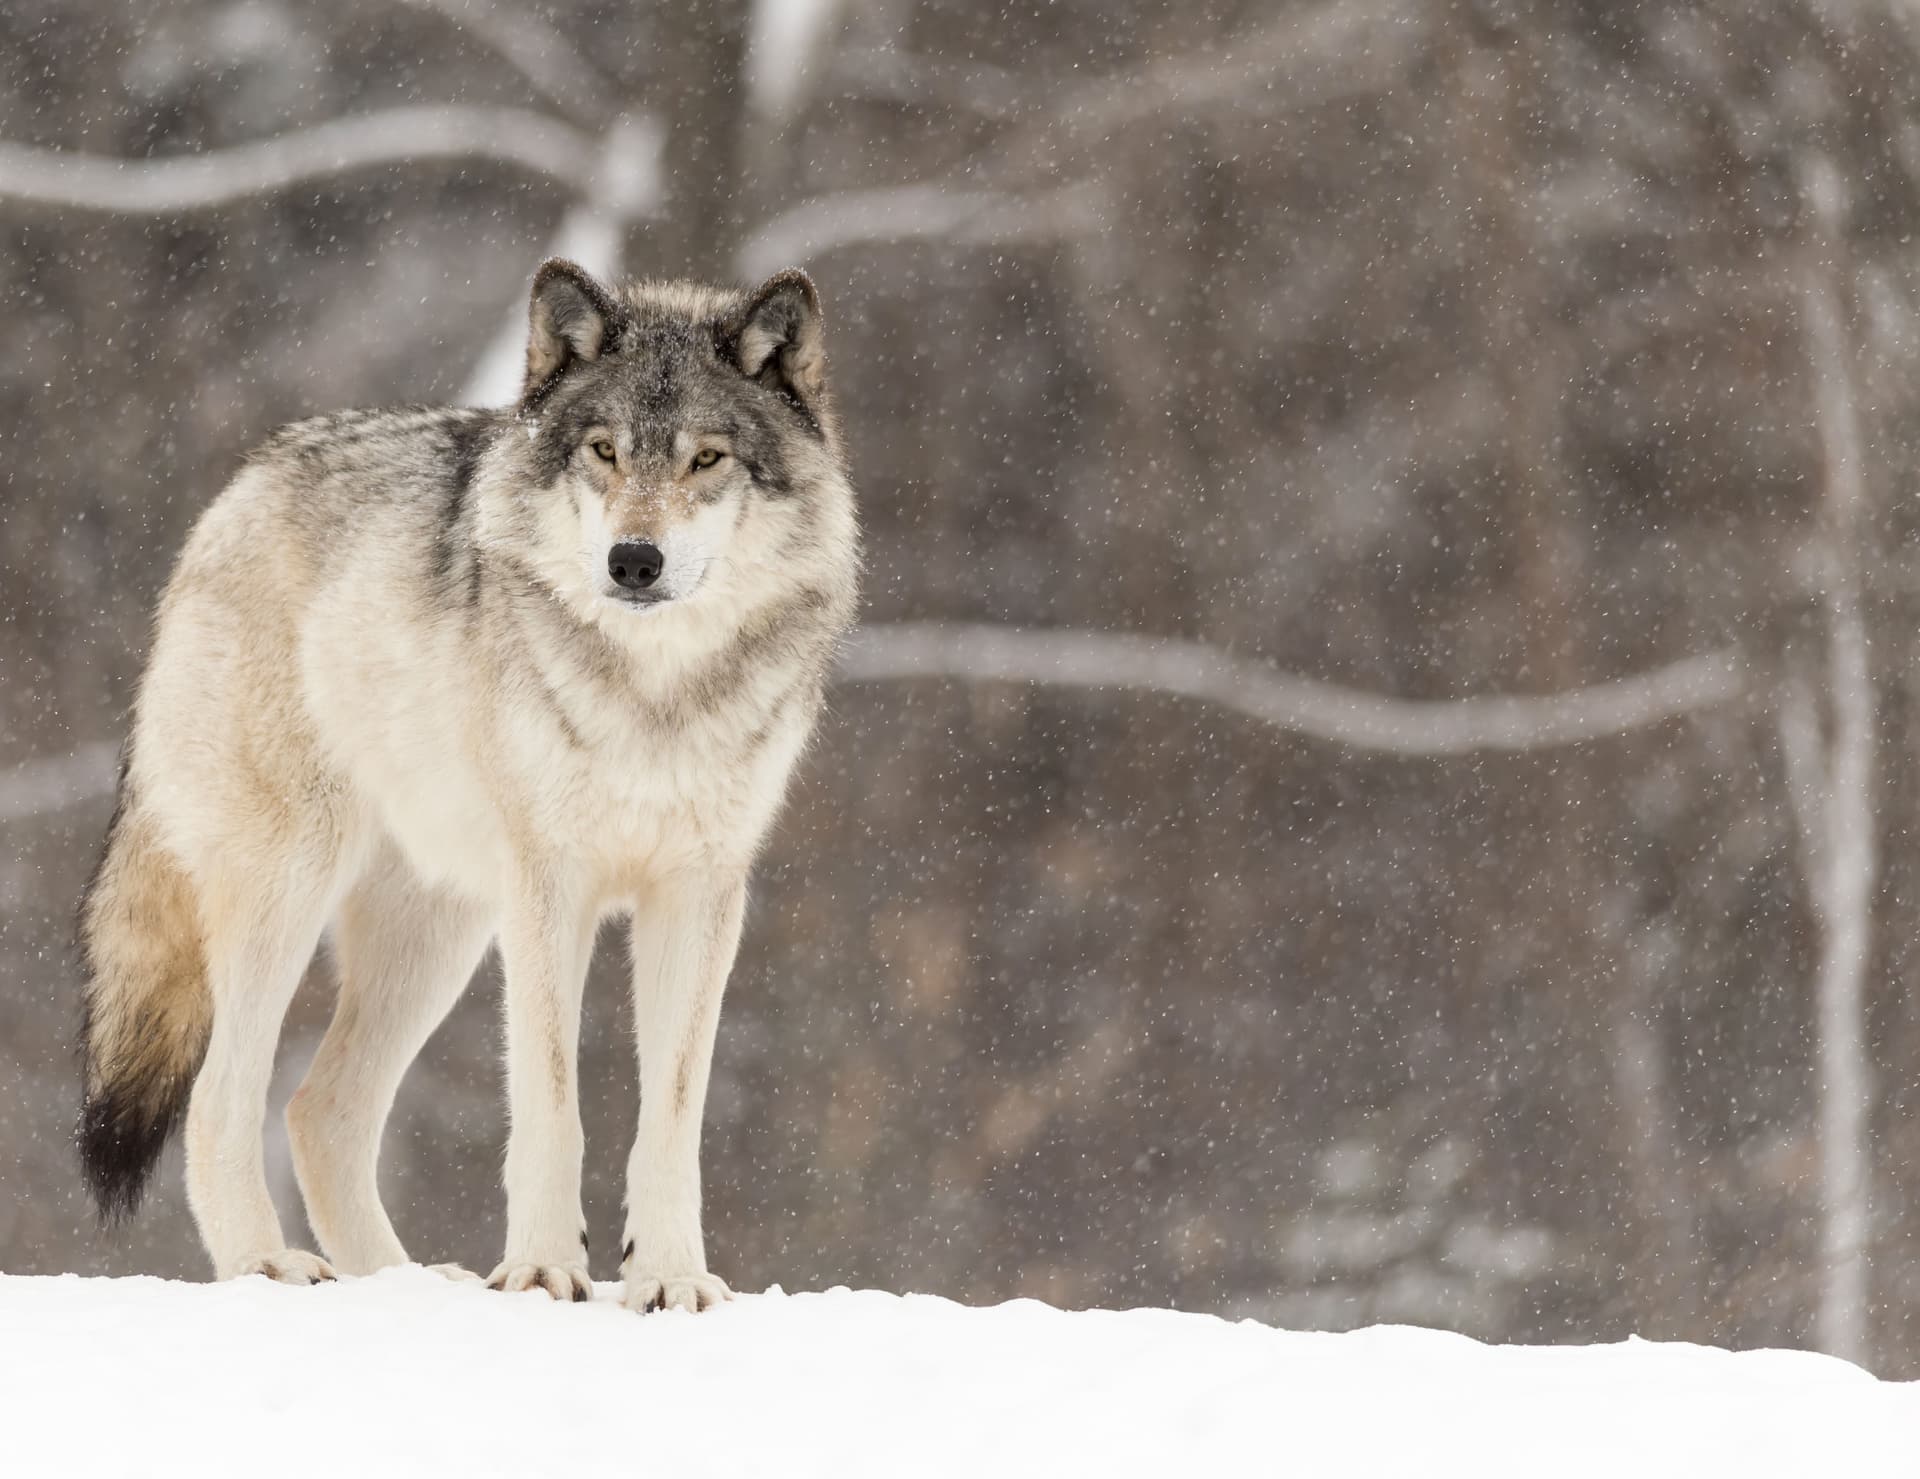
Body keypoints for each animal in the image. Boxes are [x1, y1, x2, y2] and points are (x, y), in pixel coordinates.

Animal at [74, 260, 859, 1311]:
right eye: (604, 451)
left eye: (707, 460)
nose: (634, 561)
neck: (652, 695)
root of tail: (239, 486)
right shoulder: (550, 890)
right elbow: (552, 1103)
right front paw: (542, 1271)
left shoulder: (701, 894)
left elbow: (671, 1116)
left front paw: (672, 1278)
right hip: (293, 891)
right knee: (222, 1100)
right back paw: (268, 1266)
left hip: (438, 934)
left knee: (320, 1109)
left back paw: (411, 1282)